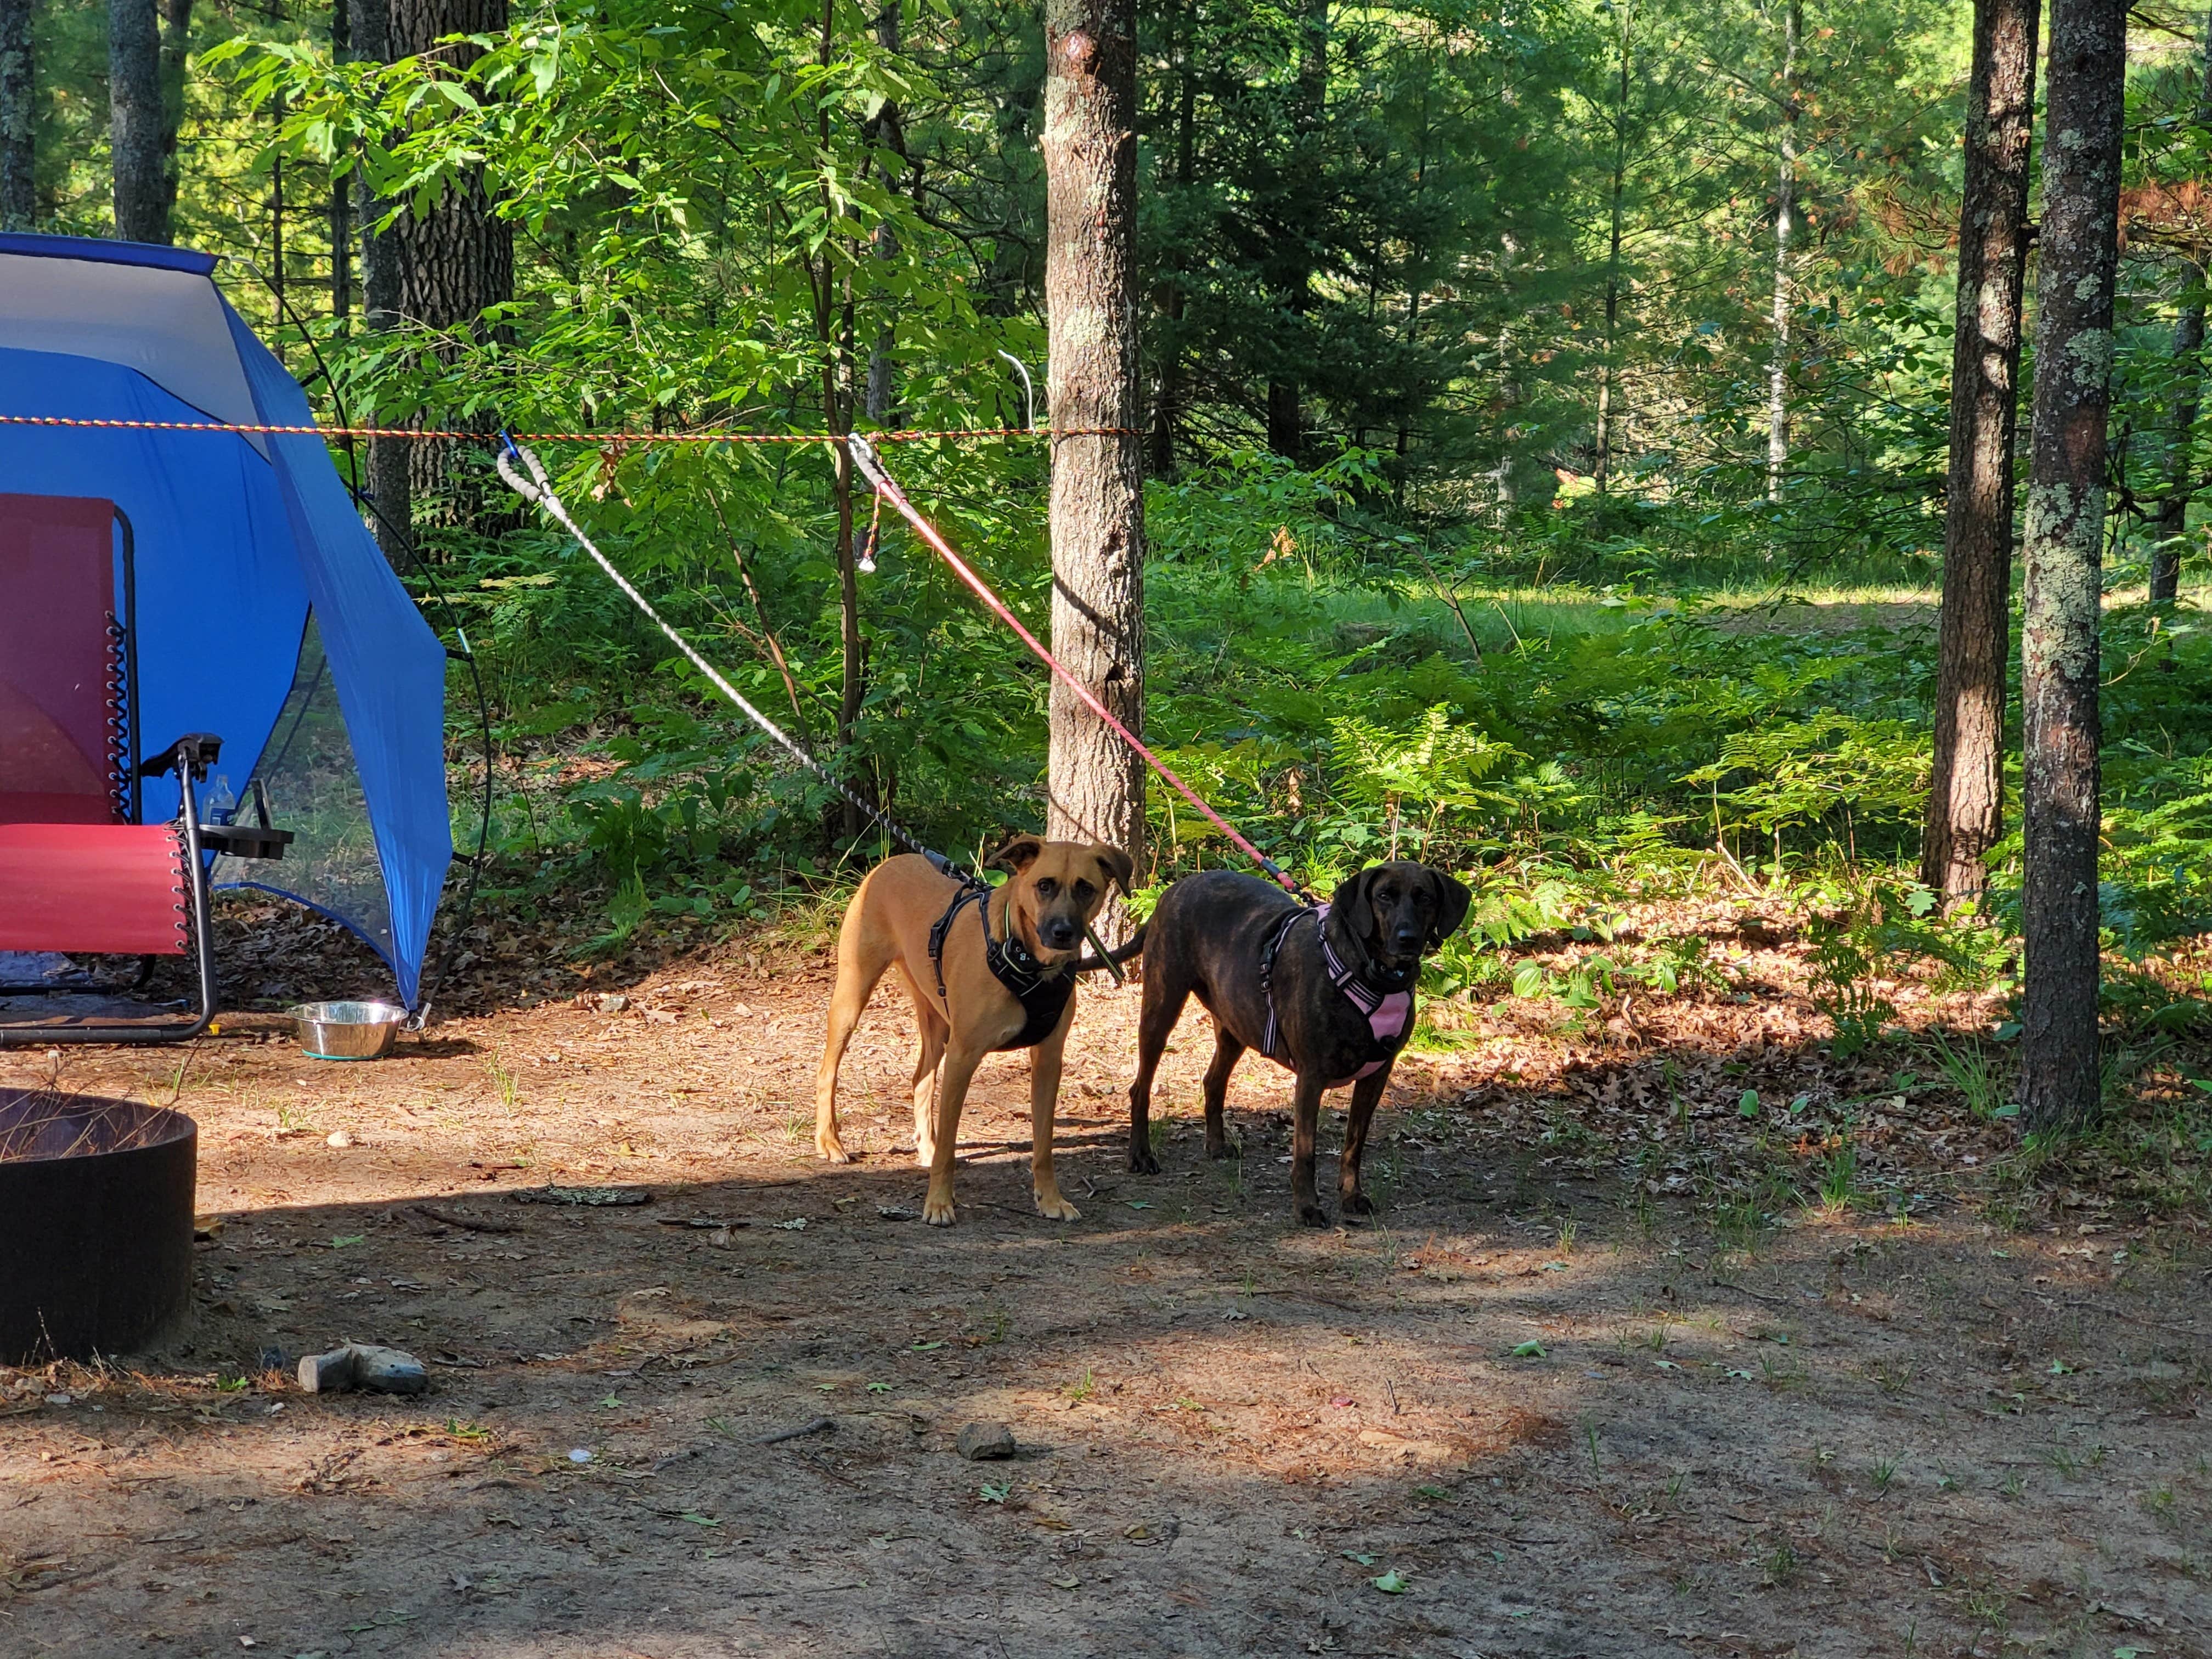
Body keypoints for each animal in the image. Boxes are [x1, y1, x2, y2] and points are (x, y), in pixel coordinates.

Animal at [814, 836, 1132, 1229]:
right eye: (1044, 885)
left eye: (1086, 888)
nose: (1063, 933)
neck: (1024, 960)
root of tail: (891, 862)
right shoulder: (963, 1057)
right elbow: (950, 1148)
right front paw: (938, 1203)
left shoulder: (1048, 1061)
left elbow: (1044, 1145)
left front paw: (1051, 1199)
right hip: (853, 994)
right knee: (828, 1071)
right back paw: (830, 1141)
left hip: (936, 1020)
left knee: (921, 1078)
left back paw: (926, 1146)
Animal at [1124, 862, 1469, 1229]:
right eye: (1384, 896)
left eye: (1425, 897)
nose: (1408, 938)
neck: (1371, 974)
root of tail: (1172, 891)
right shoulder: (1311, 1078)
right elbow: (1306, 1153)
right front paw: (1307, 1208)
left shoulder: (1376, 1075)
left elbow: (1354, 1144)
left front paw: (1351, 1195)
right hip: (1162, 1007)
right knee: (1141, 1087)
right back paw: (1141, 1155)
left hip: (1236, 1024)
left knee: (1213, 1081)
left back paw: (1216, 1145)